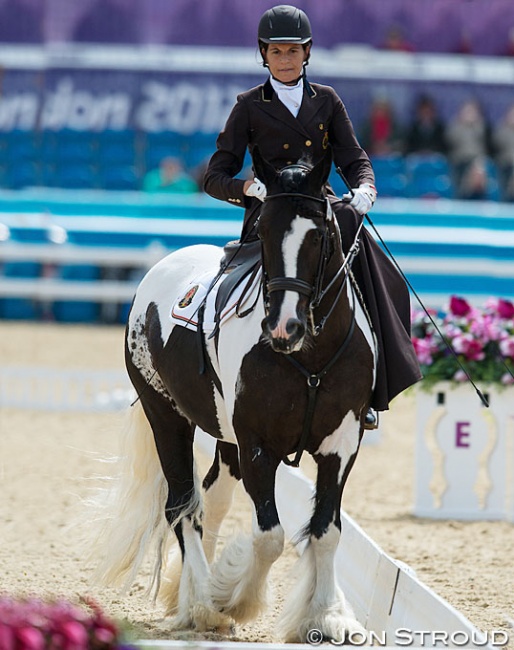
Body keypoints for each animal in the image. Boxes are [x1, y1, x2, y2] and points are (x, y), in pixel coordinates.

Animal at [91, 149, 376, 640]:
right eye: (262, 232)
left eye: (319, 236)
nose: (284, 328)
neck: (311, 357)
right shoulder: (258, 446)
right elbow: (270, 537)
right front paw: (233, 599)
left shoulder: (342, 444)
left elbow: (326, 532)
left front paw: (326, 616)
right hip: (167, 417)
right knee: (182, 505)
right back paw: (202, 604)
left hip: (225, 437)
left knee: (212, 498)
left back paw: (187, 592)